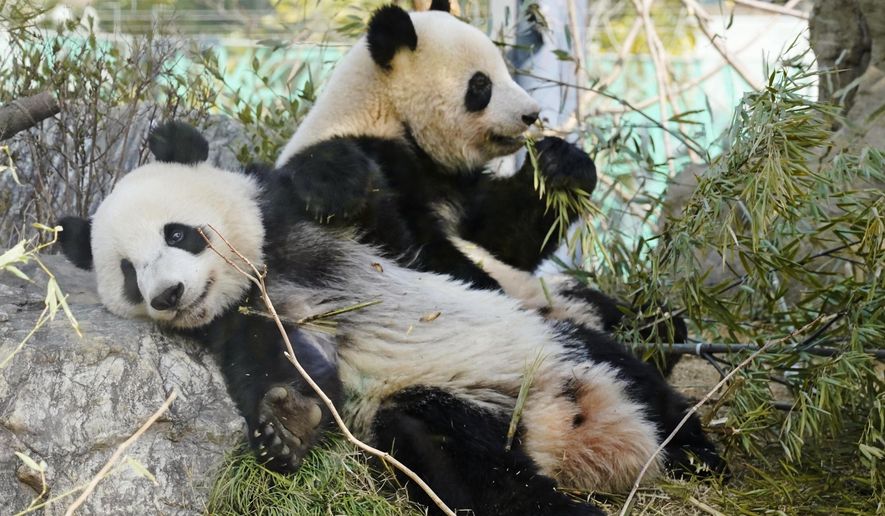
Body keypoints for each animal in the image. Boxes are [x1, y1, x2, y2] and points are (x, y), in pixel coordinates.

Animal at [58, 122, 724, 516]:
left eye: (178, 233)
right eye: (128, 273)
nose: (168, 294)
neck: (265, 273)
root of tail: (570, 435)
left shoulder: (325, 232)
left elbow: (413, 238)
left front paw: (330, 176)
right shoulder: (243, 322)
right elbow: (283, 366)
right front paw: (285, 424)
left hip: (554, 345)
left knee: (645, 389)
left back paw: (701, 460)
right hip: (455, 413)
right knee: (460, 461)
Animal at [274, 2, 687, 369]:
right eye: (481, 84)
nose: (531, 114)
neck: (388, 115)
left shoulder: (457, 184)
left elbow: (501, 239)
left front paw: (562, 164)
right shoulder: (374, 152)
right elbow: (404, 247)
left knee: (639, 317)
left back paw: (656, 333)